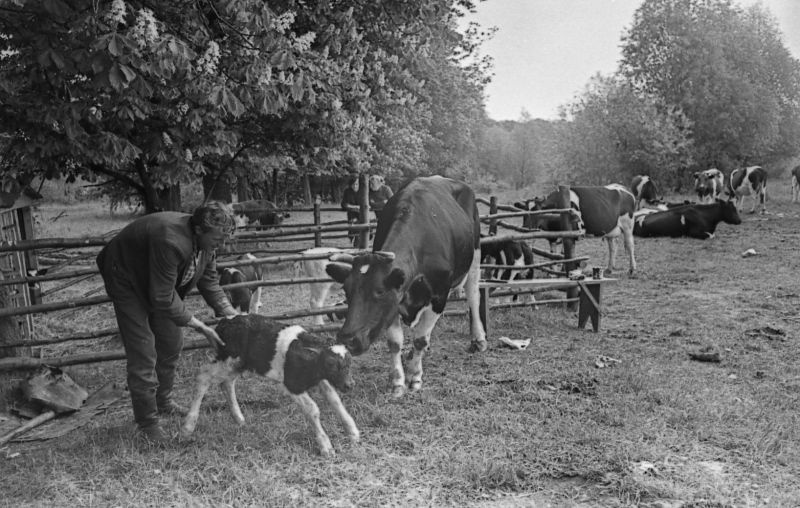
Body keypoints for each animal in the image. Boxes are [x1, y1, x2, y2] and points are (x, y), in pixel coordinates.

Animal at [181, 314, 360, 456]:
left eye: (350, 362)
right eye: (330, 364)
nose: (350, 385)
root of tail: (226, 320)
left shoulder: (318, 379)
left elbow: (335, 400)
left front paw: (352, 432)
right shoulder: (291, 384)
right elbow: (312, 409)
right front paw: (325, 446)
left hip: (238, 363)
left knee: (227, 383)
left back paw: (239, 418)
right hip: (228, 358)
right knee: (203, 376)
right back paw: (188, 426)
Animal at [324, 177, 488, 398]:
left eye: (379, 291)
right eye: (347, 291)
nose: (348, 339)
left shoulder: (439, 295)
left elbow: (420, 339)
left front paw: (415, 377)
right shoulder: (395, 301)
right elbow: (395, 343)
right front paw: (398, 381)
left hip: (476, 252)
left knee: (473, 295)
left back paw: (478, 339)